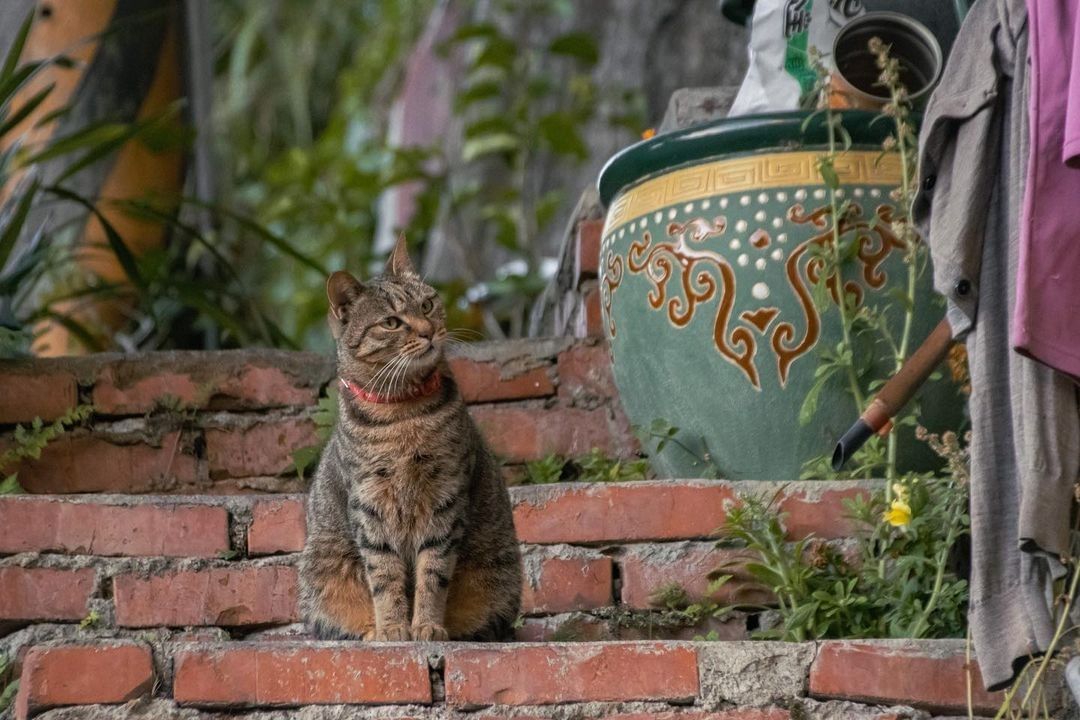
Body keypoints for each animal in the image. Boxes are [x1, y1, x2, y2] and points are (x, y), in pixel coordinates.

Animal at [298, 235, 520, 643]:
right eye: (391, 323)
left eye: (427, 305)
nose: (428, 331)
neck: (403, 413)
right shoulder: (369, 501)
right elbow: (385, 575)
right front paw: (392, 628)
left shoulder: (444, 496)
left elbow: (433, 572)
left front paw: (427, 626)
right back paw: (371, 631)